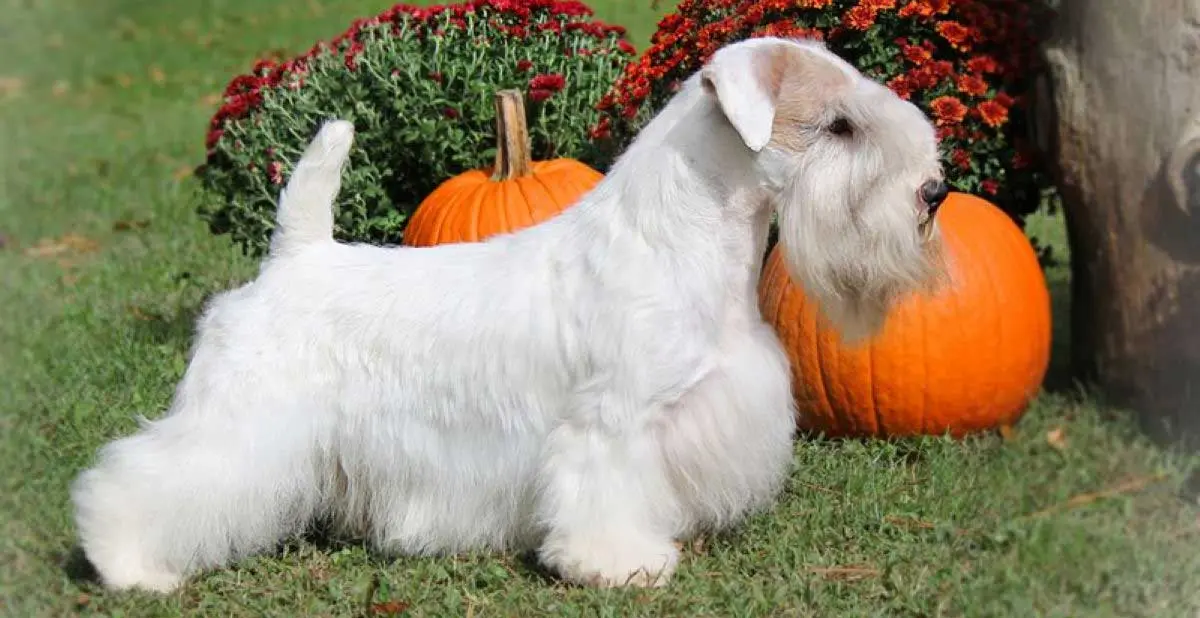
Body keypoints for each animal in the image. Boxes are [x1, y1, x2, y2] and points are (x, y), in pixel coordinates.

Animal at [72, 36, 945, 592]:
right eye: (838, 125)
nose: (933, 193)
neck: (683, 241)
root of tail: (296, 254)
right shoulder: (612, 424)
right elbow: (604, 494)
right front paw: (618, 563)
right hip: (240, 423)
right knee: (143, 478)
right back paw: (130, 566)